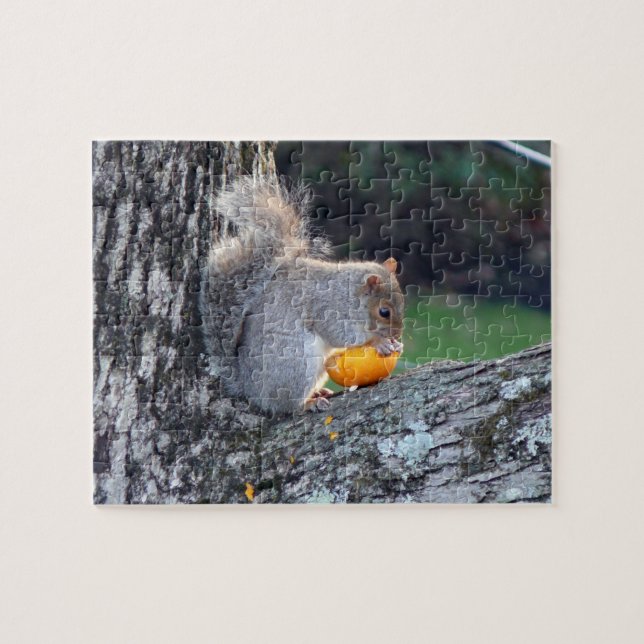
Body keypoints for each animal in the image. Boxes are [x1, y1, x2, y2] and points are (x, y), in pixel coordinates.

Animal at [200, 177, 404, 416]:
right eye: (384, 312)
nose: (397, 334)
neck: (350, 294)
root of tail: (251, 390)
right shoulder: (328, 308)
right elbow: (341, 335)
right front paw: (379, 342)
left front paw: (396, 345)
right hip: (297, 363)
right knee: (288, 405)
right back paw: (308, 403)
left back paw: (318, 393)